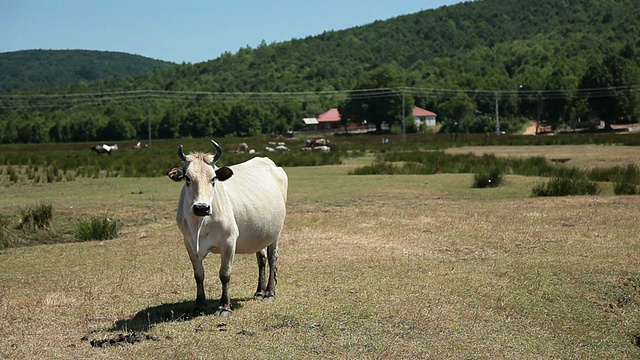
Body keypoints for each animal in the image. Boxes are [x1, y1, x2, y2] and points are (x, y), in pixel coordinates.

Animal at [165, 139, 288, 316]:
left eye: (213, 178)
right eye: (187, 178)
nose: (201, 207)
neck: (200, 223)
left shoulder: (229, 241)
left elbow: (225, 274)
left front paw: (224, 306)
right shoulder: (188, 243)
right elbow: (198, 274)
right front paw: (199, 304)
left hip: (276, 233)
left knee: (272, 258)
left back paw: (270, 293)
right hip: (260, 233)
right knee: (262, 259)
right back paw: (259, 291)